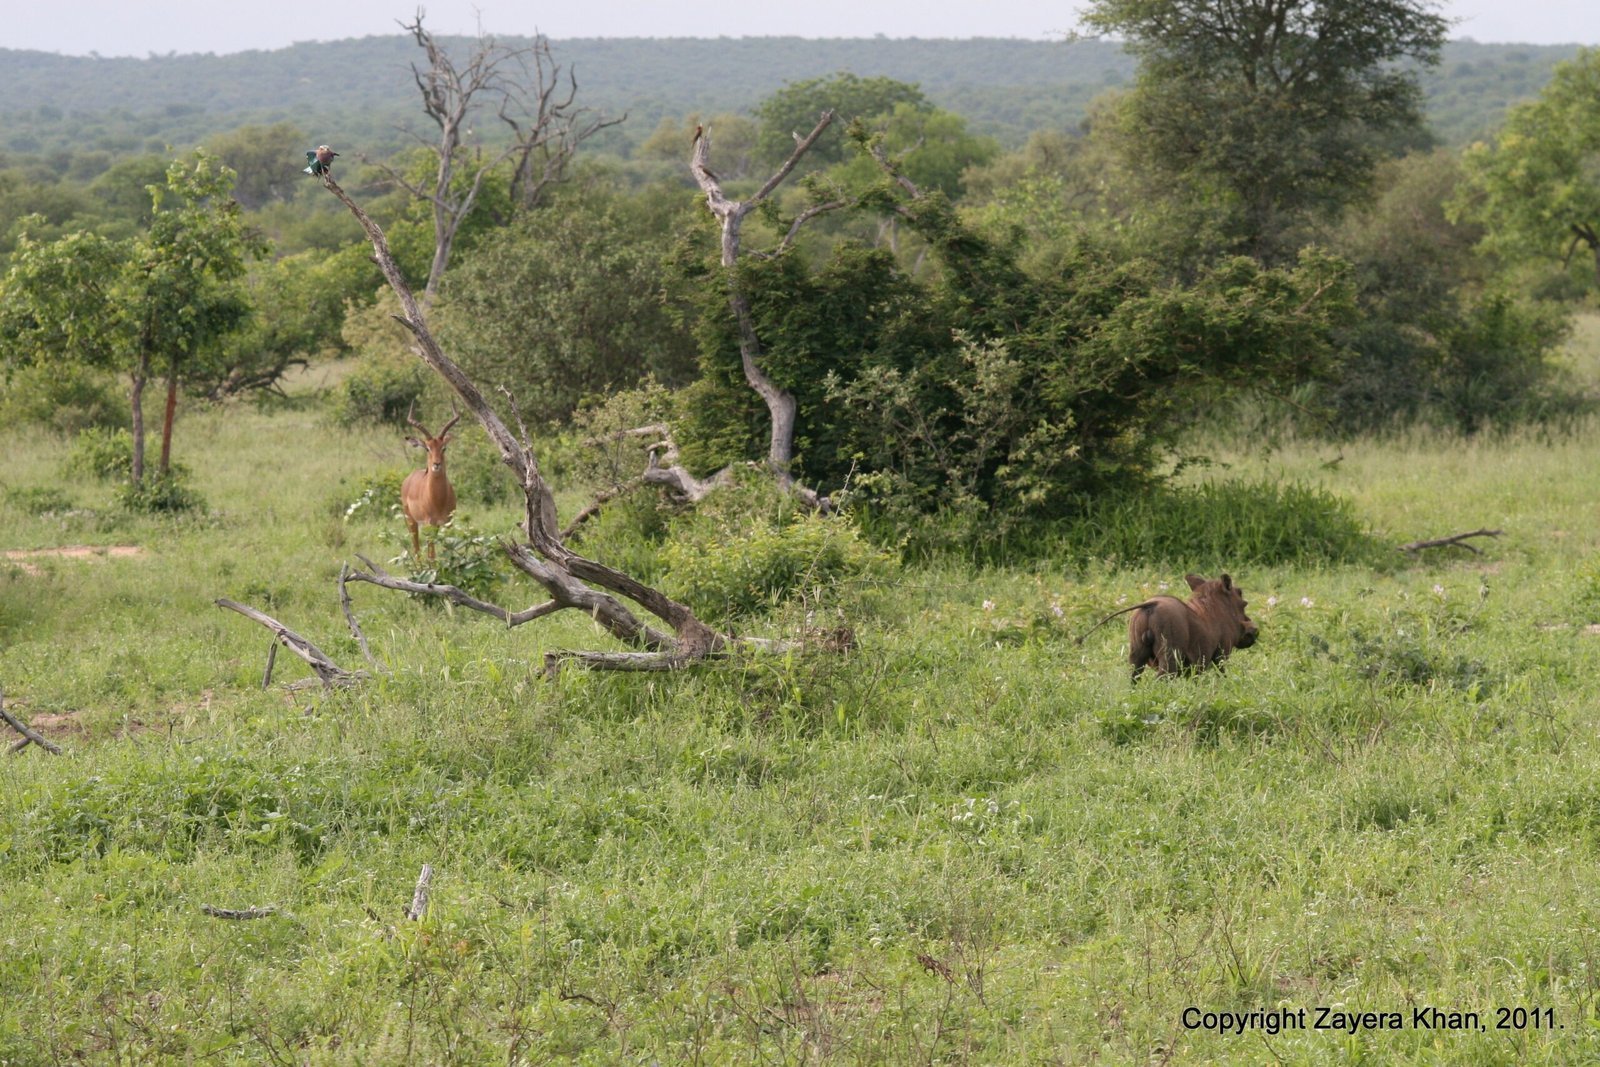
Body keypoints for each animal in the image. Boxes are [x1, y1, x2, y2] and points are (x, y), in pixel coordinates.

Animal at [400, 402, 461, 560]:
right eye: (427, 448)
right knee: (416, 550)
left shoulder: (448, 523)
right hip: (412, 522)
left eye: (444, 448)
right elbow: (432, 555)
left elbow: (449, 550)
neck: (438, 499)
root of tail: (409, 477)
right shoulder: (430, 524)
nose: (436, 464)